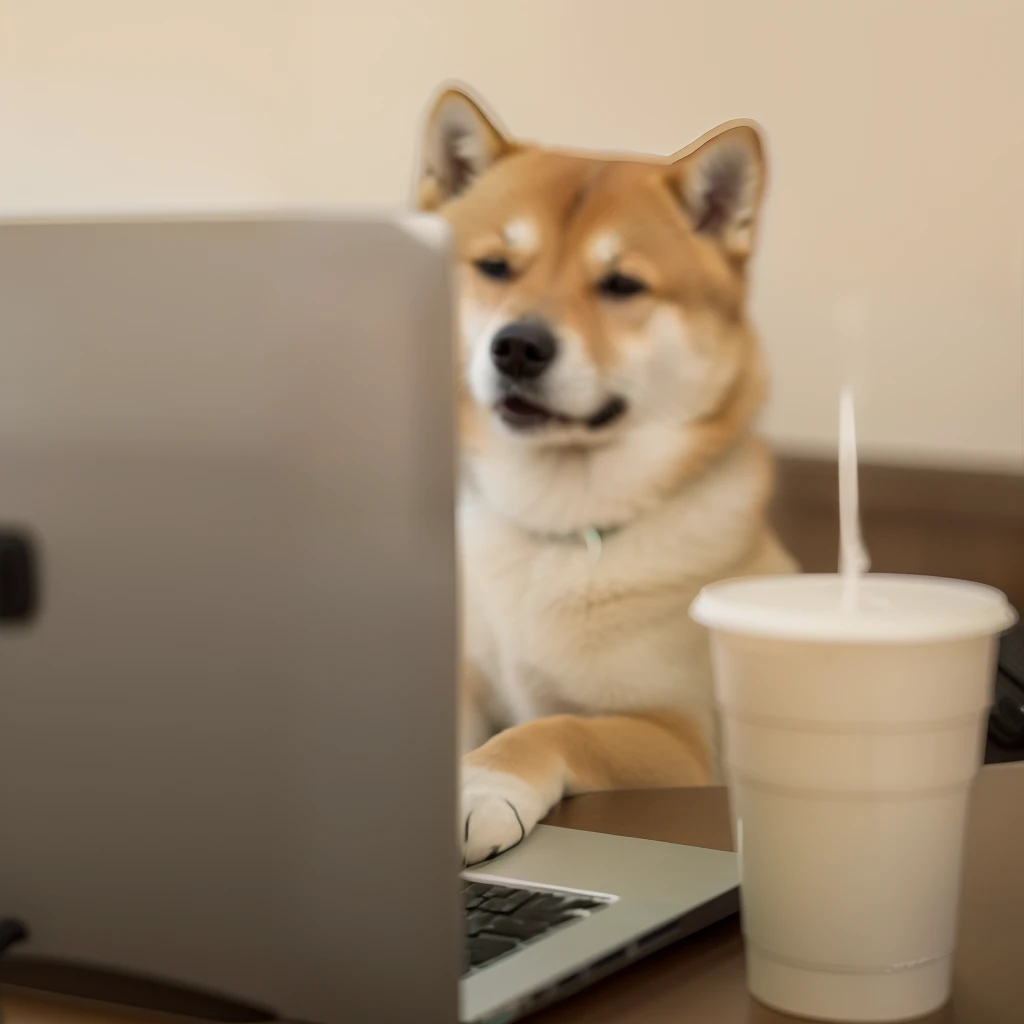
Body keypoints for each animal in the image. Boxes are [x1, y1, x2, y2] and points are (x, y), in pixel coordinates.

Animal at [413, 86, 790, 864]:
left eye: (621, 285)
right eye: (494, 266)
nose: (518, 346)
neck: (553, 530)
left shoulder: (682, 737)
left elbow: (561, 727)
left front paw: (486, 785)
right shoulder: (464, 684)